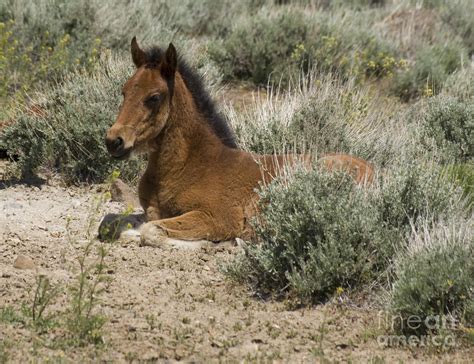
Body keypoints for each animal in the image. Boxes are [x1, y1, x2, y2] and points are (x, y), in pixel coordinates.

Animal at [104, 37, 374, 247]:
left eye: (154, 97)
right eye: (124, 91)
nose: (114, 141)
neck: (187, 165)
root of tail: (375, 173)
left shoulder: (217, 216)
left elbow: (151, 231)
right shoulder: (151, 211)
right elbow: (114, 224)